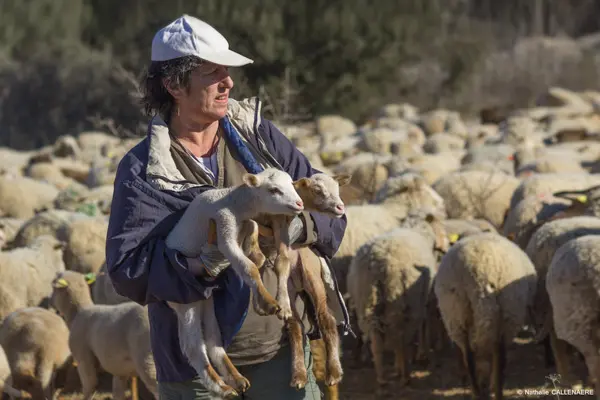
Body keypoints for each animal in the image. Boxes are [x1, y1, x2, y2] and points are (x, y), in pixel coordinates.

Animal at [51, 268, 158, 400]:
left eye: (53, 287)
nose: (50, 302)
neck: (78, 312)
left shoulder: (83, 357)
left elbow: (90, 386)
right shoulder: (120, 370)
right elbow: (118, 393)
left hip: (148, 360)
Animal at [346, 208, 450, 396]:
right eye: (441, 224)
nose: (447, 246)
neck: (419, 230)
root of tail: (377, 262)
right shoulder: (421, 298)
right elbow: (423, 326)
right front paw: (422, 354)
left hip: (366, 301)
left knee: (377, 341)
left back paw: (382, 379)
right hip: (398, 299)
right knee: (400, 337)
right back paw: (405, 375)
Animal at [434, 233, 536, 398]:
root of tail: (477, 267)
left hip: (456, 312)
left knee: (469, 357)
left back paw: (477, 392)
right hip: (505, 313)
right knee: (499, 356)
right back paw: (496, 391)